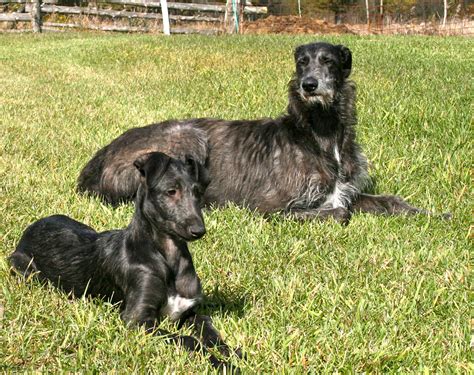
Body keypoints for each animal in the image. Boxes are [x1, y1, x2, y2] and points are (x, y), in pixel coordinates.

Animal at [10, 152, 239, 370]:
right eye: (171, 191)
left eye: (198, 192)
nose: (198, 230)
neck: (168, 257)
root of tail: (32, 226)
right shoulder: (138, 320)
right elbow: (188, 340)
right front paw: (221, 363)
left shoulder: (190, 312)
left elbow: (211, 333)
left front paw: (234, 354)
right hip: (23, 267)